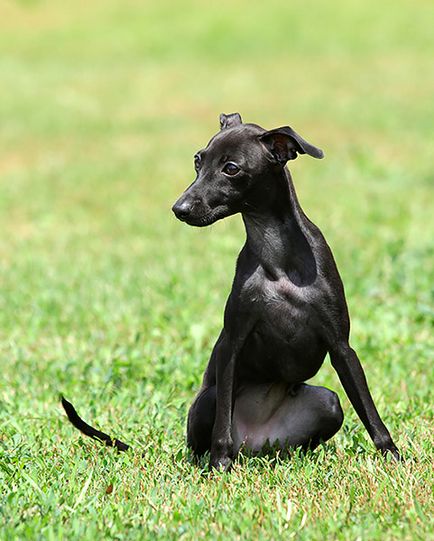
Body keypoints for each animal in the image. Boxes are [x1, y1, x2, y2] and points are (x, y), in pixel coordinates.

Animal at [170, 110, 400, 468]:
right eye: (198, 160)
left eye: (231, 168)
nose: (179, 209)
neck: (277, 258)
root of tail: (254, 443)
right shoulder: (231, 345)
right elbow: (222, 426)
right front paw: (219, 465)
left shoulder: (341, 345)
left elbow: (369, 410)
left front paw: (392, 456)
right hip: (208, 399)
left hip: (328, 403)